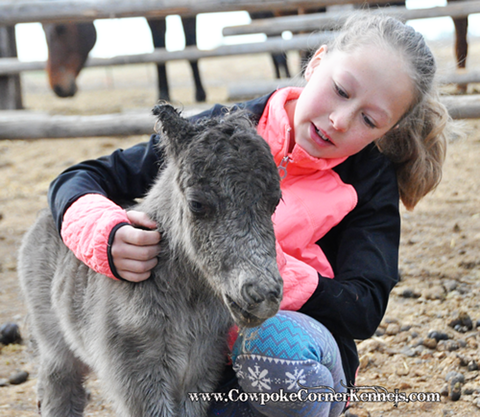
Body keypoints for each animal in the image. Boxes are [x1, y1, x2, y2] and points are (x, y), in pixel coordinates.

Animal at [17, 105, 282, 416]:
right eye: (196, 204)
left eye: (275, 202)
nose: (263, 296)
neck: (188, 301)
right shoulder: (138, 376)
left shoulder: (199, 370)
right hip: (55, 348)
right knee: (59, 390)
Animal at [45, 17, 208, 102]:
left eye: (61, 28)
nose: (58, 87)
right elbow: (159, 51)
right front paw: (163, 95)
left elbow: (191, 48)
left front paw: (200, 94)